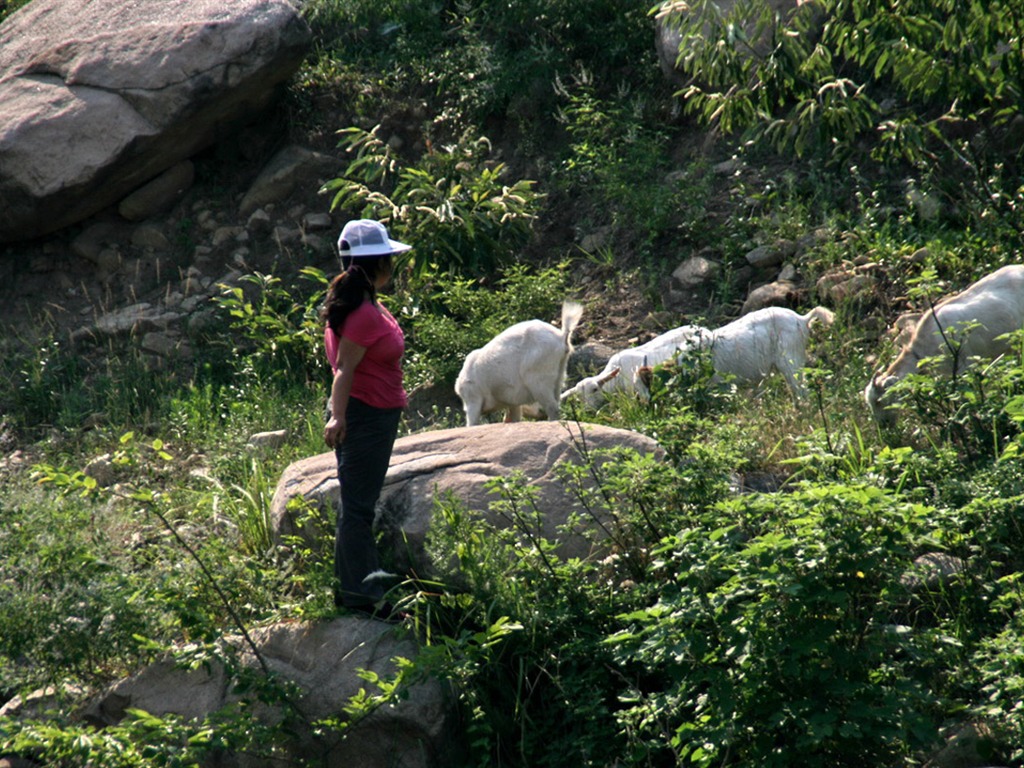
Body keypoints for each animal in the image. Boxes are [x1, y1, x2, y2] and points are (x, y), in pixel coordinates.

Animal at [456, 299, 585, 428]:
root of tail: (562, 337)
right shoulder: (512, 401)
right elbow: (514, 416)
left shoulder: (473, 396)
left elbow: (472, 422)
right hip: (559, 374)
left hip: (538, 375)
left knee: (551, 406)